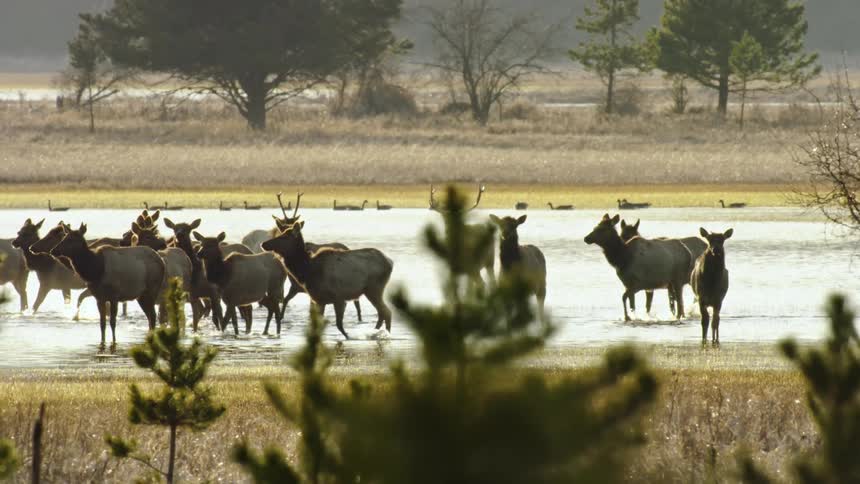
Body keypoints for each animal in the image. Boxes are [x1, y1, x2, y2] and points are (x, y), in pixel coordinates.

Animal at [262, 221, 393, 340]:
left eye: (284, 236)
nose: (263, 243)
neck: (308, 271)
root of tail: (390, 262)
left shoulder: (339, 298)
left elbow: (339, 325)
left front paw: (349, 337)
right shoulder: (319, 300)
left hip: (374, 289)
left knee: (387, 312)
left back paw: (384, 334)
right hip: (370, 291)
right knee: (382, 313)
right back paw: (376, 332)